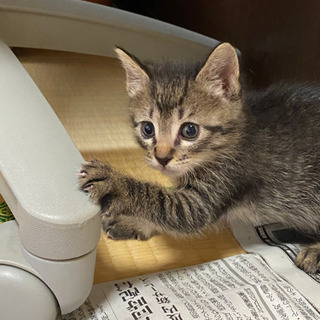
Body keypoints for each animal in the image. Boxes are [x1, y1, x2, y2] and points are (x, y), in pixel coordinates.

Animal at [79, 42, 320, 272]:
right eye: (148, 129)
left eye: (190, 131)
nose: (162, 158)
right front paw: (135, 222)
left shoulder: (211, 194)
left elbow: (164, 203)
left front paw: (114, 181)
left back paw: (314, 251)